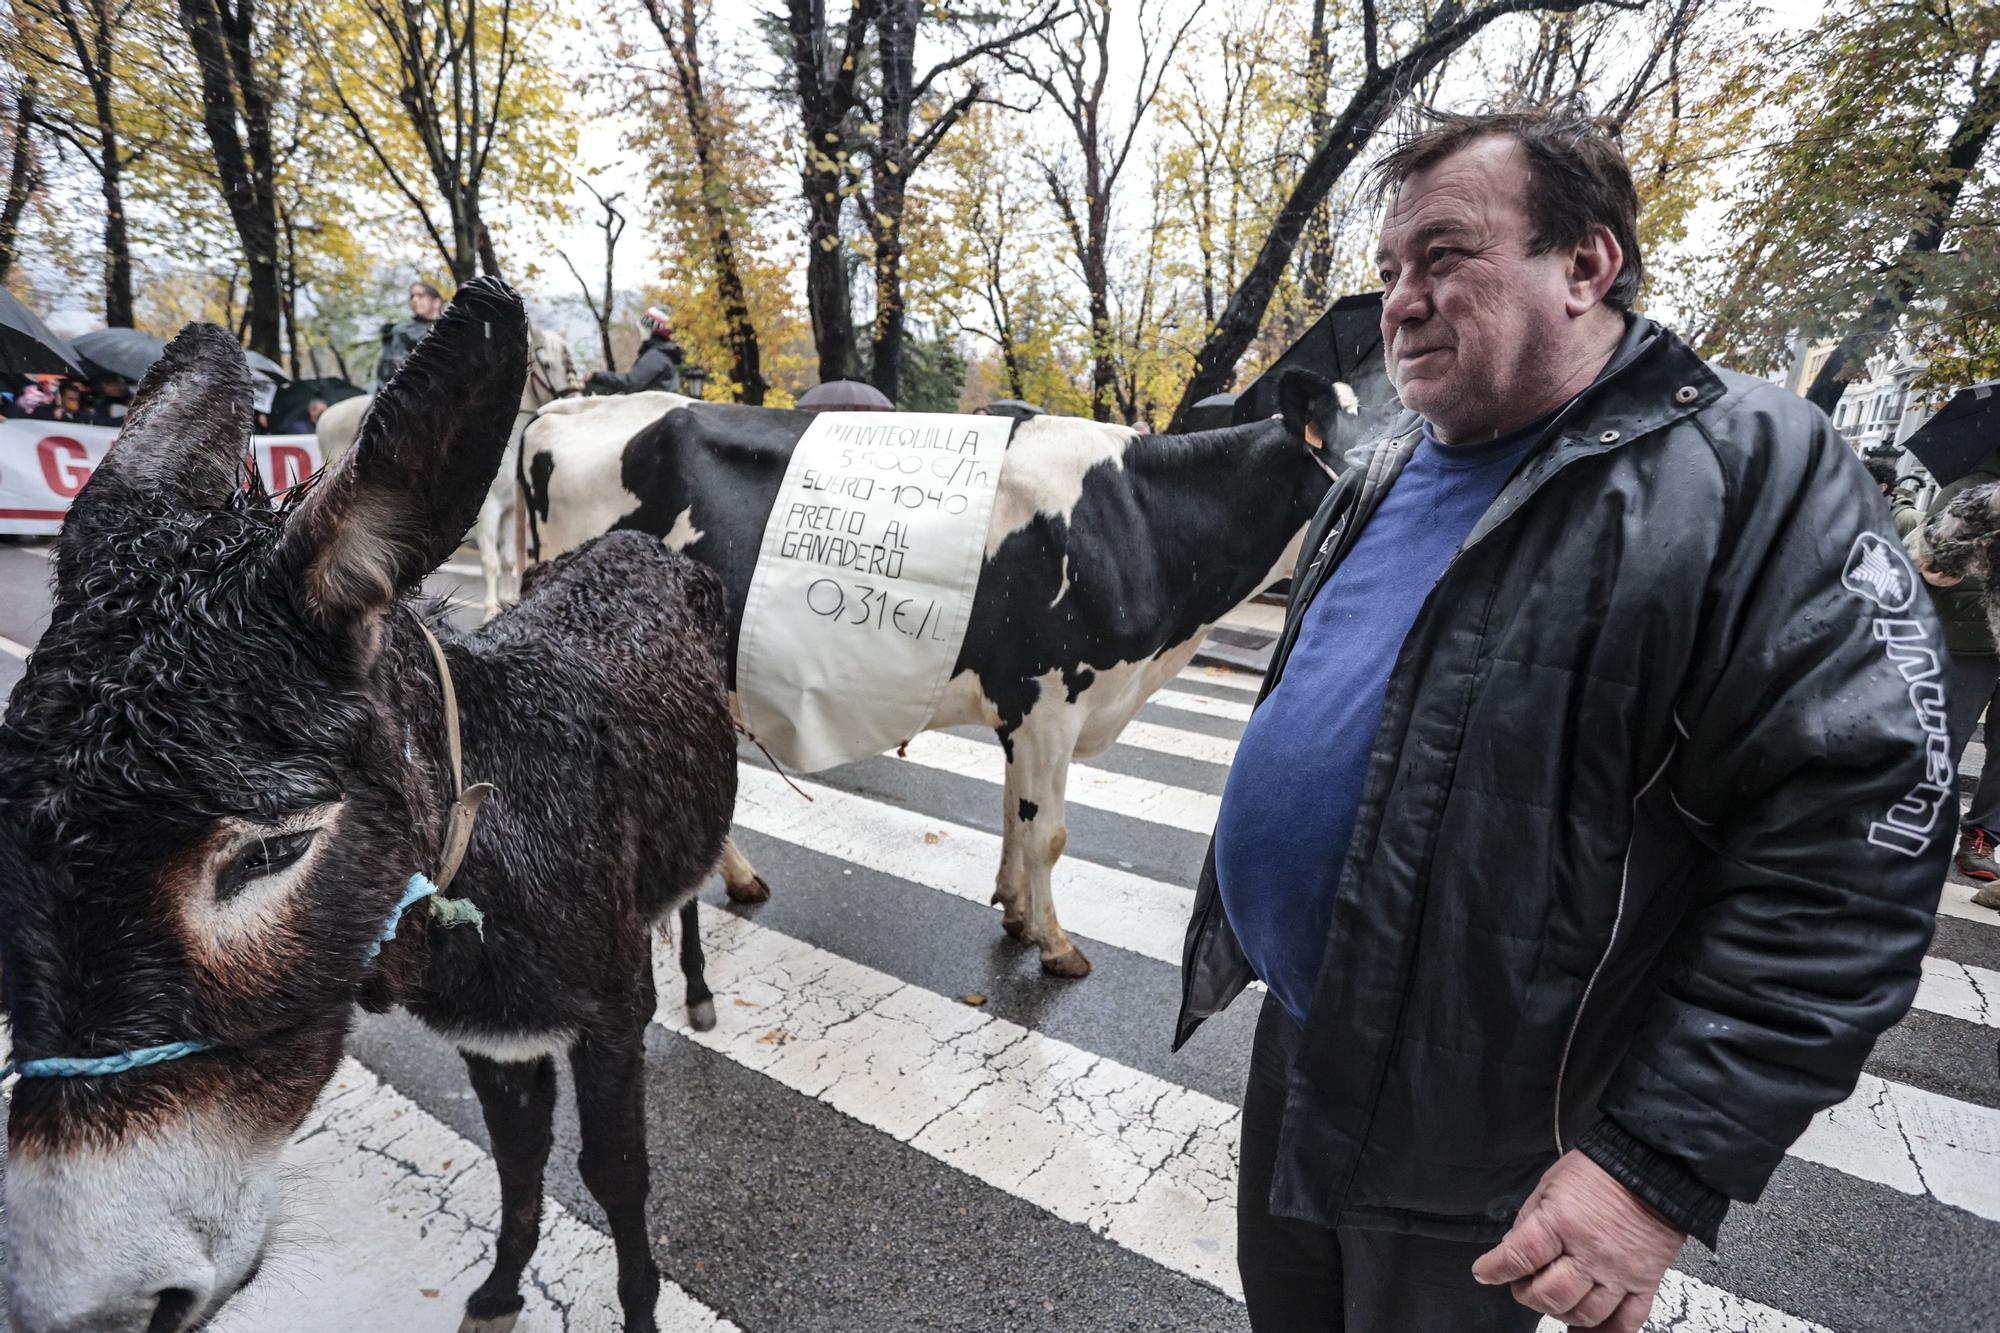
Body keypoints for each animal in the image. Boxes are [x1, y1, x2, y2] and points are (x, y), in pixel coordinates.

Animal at [314, 322, 580, 616]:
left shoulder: (510, 510)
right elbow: (491, 560)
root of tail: (327, 414)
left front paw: (507, 600)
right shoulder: (489, 510)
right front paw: (491, 608)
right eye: (547, 363)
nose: (576, 398)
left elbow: (509, 559)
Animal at [532, 374, 1368, 976]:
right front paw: (1057, 945)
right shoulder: (1055, 696)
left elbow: (1012, 814)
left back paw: (738, 879)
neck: (1139, 521)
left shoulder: (1022, 705)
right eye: (1360, 450)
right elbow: (1050, 833)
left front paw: (1016, 913)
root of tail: (563, 411)